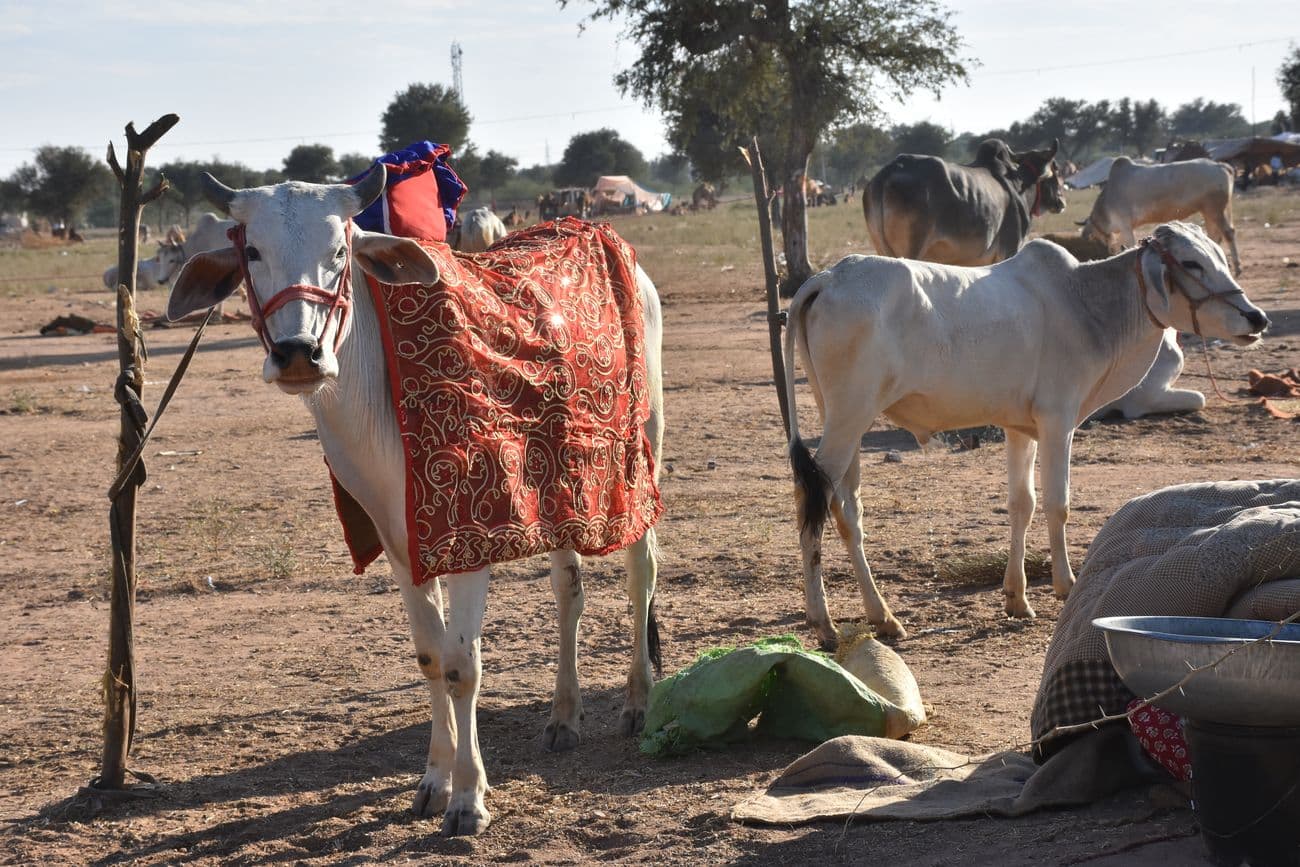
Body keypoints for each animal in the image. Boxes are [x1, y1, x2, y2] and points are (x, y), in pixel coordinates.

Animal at [780, 223, 1268, 644]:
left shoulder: (1021, 430)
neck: (1086, 302)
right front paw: (1065, 584)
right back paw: (823, 622)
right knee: (812, 499)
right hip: (849, 417)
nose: (1256, 317)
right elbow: (1057, 503)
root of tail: (827, 278)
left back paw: (882, 617)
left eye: (1217, 256)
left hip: (846, 419)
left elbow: (1022, 504)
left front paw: (1017, 598)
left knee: (847, 511)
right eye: (1190, 263)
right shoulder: (1058, 421)